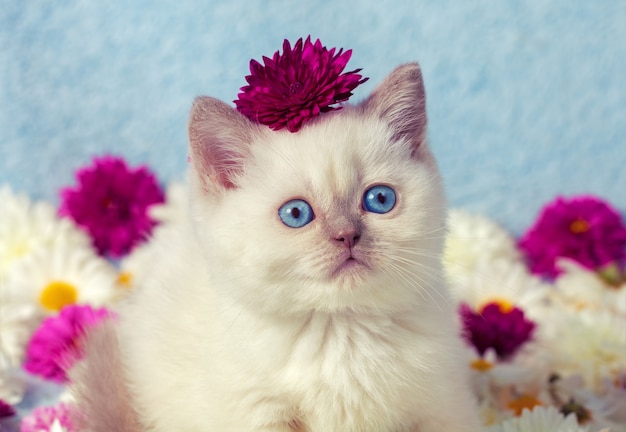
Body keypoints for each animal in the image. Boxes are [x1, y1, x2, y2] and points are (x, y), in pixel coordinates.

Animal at [69, 62, 478, 430]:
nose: (347, 235)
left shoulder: (441, 403)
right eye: (296, 213)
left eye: (380, 199)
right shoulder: (253, 411)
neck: (341, 330)